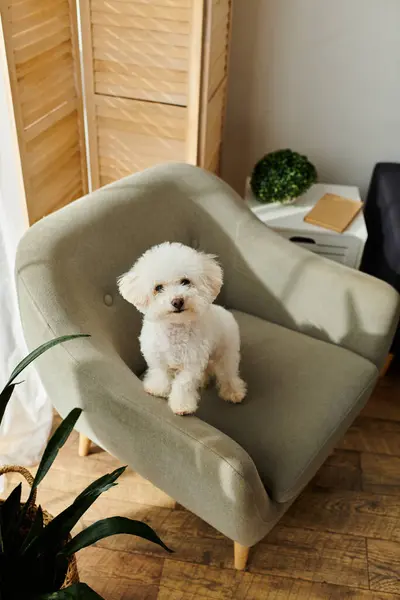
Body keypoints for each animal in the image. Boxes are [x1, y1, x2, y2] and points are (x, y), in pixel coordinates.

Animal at [117, 241, 245, 414]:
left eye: (185, 281)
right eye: (158, 288)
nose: (177, 301)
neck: (175, 328)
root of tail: (224, 311)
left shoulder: (192, 363)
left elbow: (183, 384)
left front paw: (182, 405)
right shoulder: (155, 355)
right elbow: (160, 373)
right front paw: (157, 389)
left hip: (226, 351)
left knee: (228, 373)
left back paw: (233, 391)